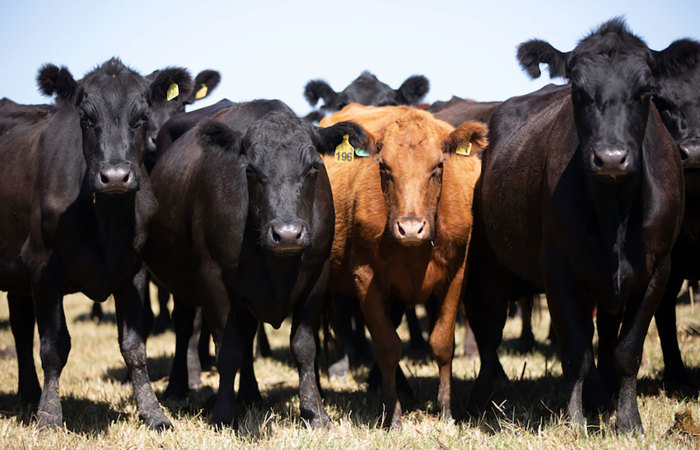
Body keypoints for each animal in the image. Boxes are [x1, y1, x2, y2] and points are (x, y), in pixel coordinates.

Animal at [0, 58, 192, 429]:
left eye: (141, 117)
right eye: (86, 118)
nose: (115, 177)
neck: (107, 222)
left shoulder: (134, 270)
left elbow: (134, 346)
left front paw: (153, 413)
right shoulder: (42, 268)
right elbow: (53, 347)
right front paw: (49, 417)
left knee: (20, 329)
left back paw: (28, 395)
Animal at [144, 99, 372, 426]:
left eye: (313, 167)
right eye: (250, 170)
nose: (287, 234)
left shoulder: (317, 276)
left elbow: (303, 346)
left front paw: (314, 411)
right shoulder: (212, 278)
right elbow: (227, 350)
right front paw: (224, 414)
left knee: (247, 335)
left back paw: (250, 393)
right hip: (181, 281)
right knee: (185, 326)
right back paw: (178, 387)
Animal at [319, 103, 487, 428]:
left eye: (438, 166)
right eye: (383, 167)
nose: (410, 229)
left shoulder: (455, 275)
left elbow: (442, 343)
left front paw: (446, 410)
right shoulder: (365, 278)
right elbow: (387, 346)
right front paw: (393, 414)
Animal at [464, 18, 687, 433]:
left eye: (646, 91)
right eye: (578, 91)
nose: (611, 157)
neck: (615, 216)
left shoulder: (657, 271)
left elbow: (625, 351)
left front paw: (627, 421)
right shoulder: (559, 271)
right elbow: (576, 354)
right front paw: (575, 421)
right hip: (488, 265)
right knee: (489, 334)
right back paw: (478, 401)